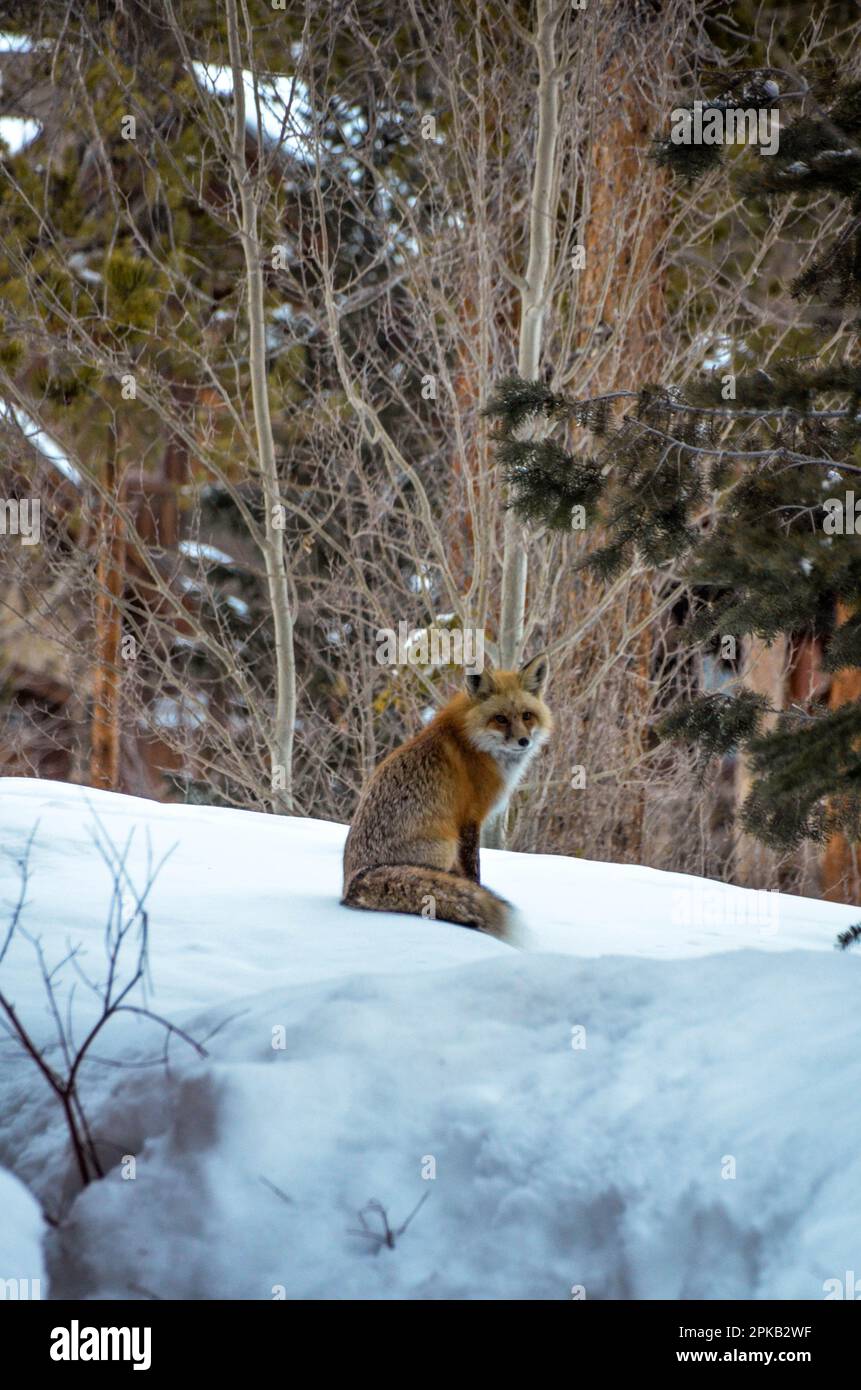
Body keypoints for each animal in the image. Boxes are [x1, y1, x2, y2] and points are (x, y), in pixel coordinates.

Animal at [341, 653, 552, 941]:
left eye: (527, 716)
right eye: (500, 719)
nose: (524, 742)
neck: (476, 743)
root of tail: (352, 882)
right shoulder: (470, 818)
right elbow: (473, 872)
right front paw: (477, 892)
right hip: (445, 846)